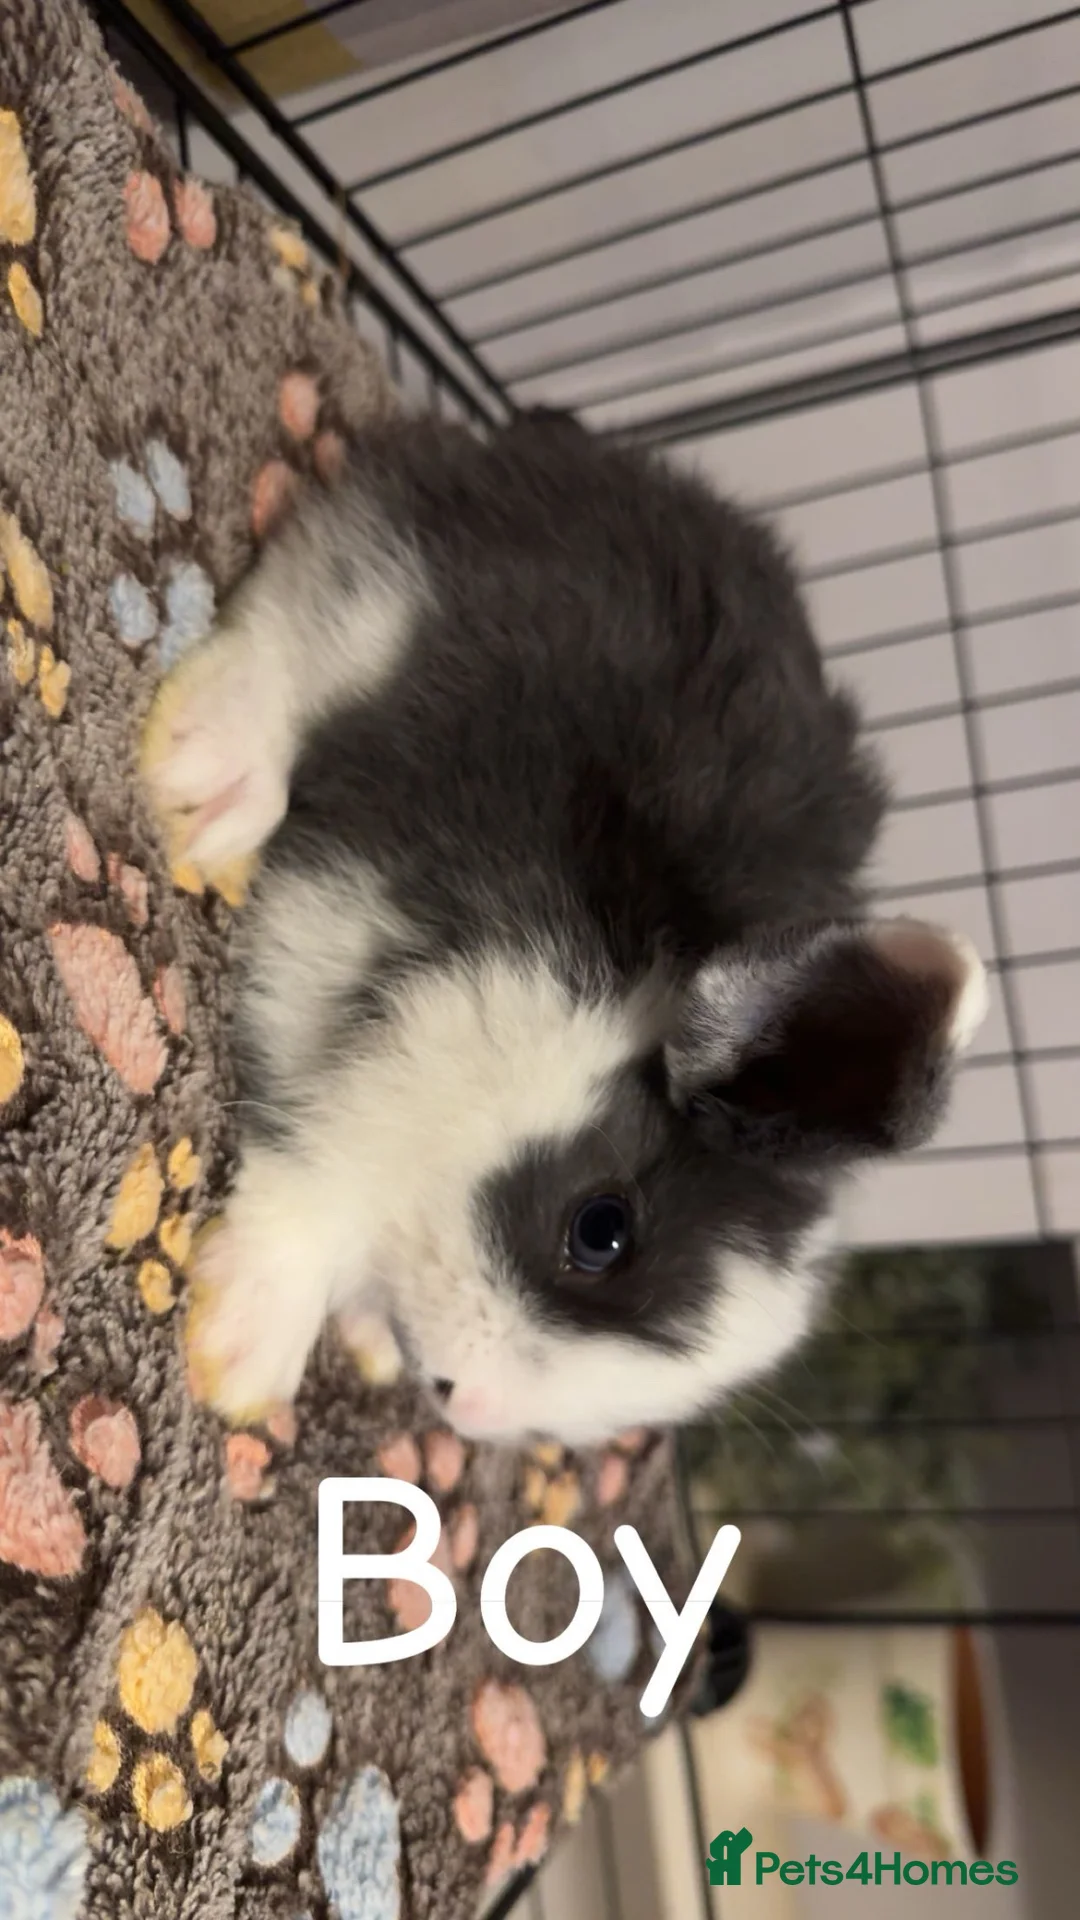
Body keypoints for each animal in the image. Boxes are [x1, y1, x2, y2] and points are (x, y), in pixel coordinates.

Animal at [144, 411, 986, 1445]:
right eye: (600, 1231)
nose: (467, 1402)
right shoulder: (391, 999)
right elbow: (324, 1163)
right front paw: (243, 1355)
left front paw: (359, 1335)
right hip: (399, 599)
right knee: (291, 634)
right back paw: (207, 782)